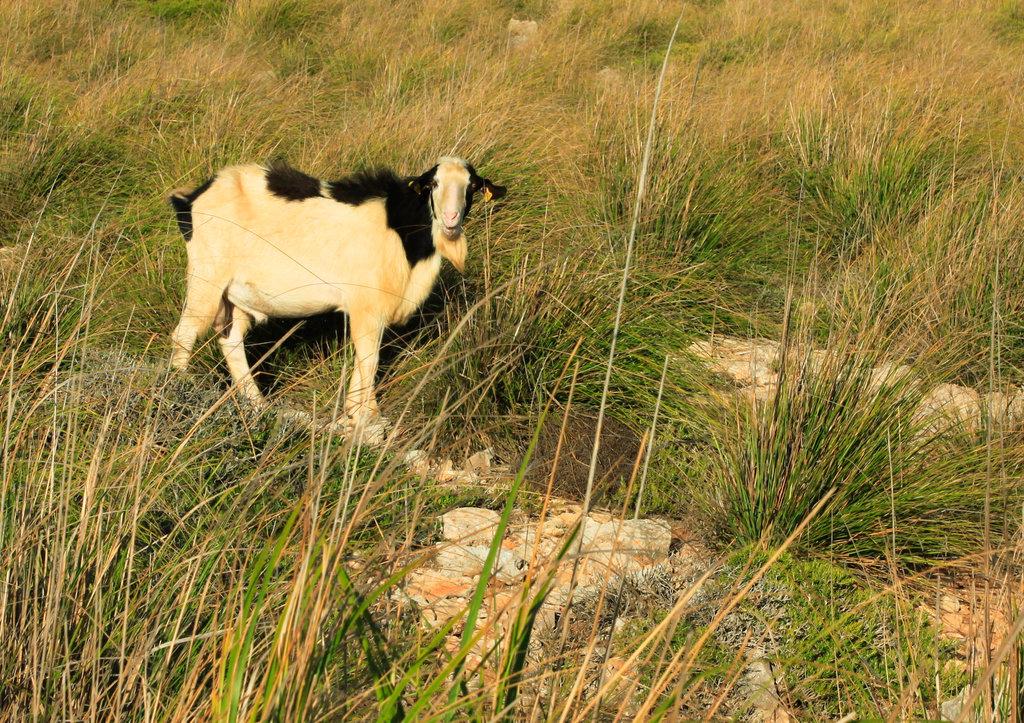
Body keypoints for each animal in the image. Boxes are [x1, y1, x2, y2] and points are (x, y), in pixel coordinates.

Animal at [168, 156, 507, 428]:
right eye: (433, 184)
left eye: (471, 187)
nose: (451, 219)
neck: (402, 229)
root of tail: (191, 198)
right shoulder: (367, 304)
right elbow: (369, 358)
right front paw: (368, 416)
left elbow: (366, 359)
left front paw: (357, 413)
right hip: (206, 278)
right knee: (184, 336)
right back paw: (177, 391)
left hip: (233, 295)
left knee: (231, 342)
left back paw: (257, 405)